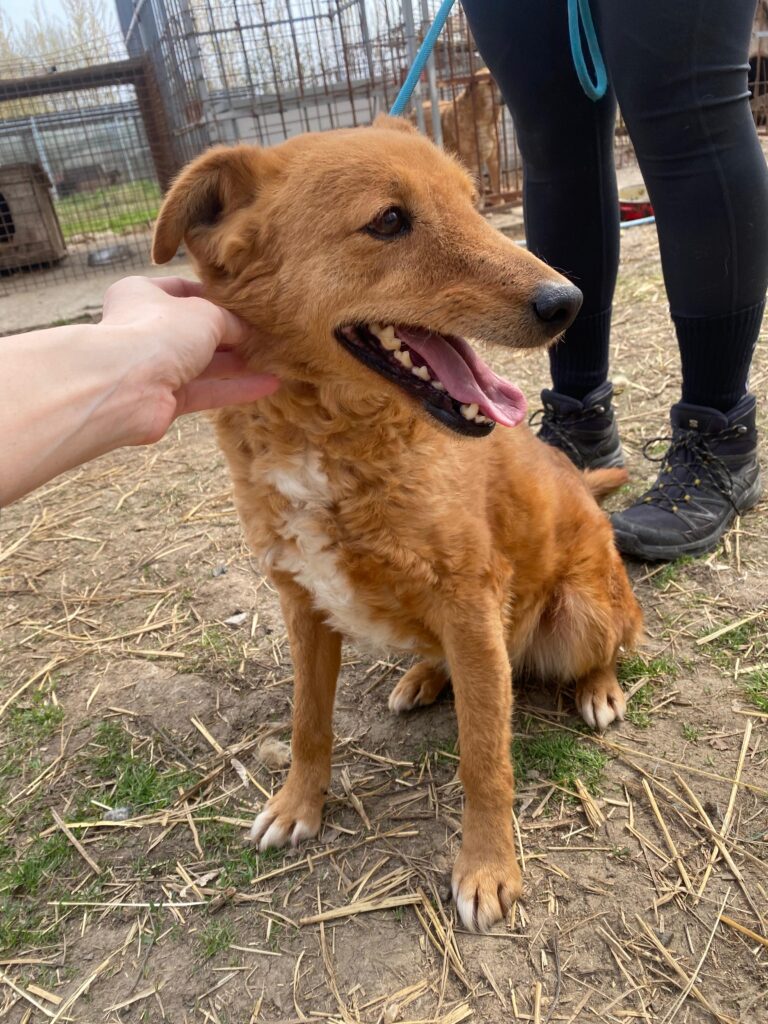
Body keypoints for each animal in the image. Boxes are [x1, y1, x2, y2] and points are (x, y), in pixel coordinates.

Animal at [152, 116, 642, 932]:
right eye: (388, 221)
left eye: (475, 205)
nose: (568, 301)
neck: (332, 444)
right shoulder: (304, 604)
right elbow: (306, 723)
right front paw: (298, 805)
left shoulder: (471, 602)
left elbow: (484, 757)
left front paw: (488, 867)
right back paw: (423, 676)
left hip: (582, 610)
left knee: (604, 648)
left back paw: (598, 688)